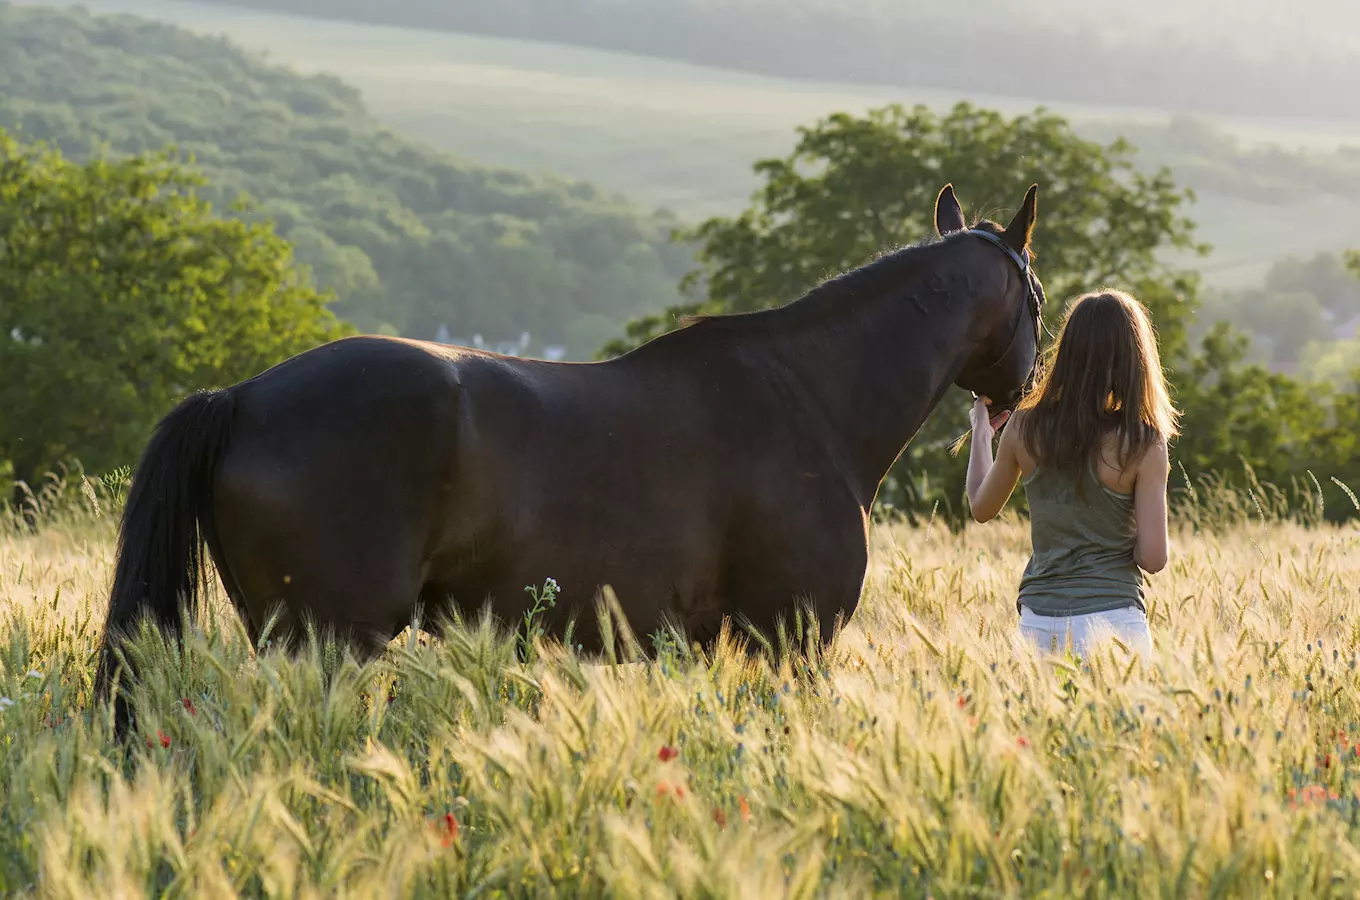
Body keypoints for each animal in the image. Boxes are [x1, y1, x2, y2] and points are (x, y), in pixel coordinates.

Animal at [95, 183, 1044, 728]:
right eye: (1036, 293)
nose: (1022, 394)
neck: (809, 394)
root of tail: (242, 398)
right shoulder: (791, 640)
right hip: (326, 643)